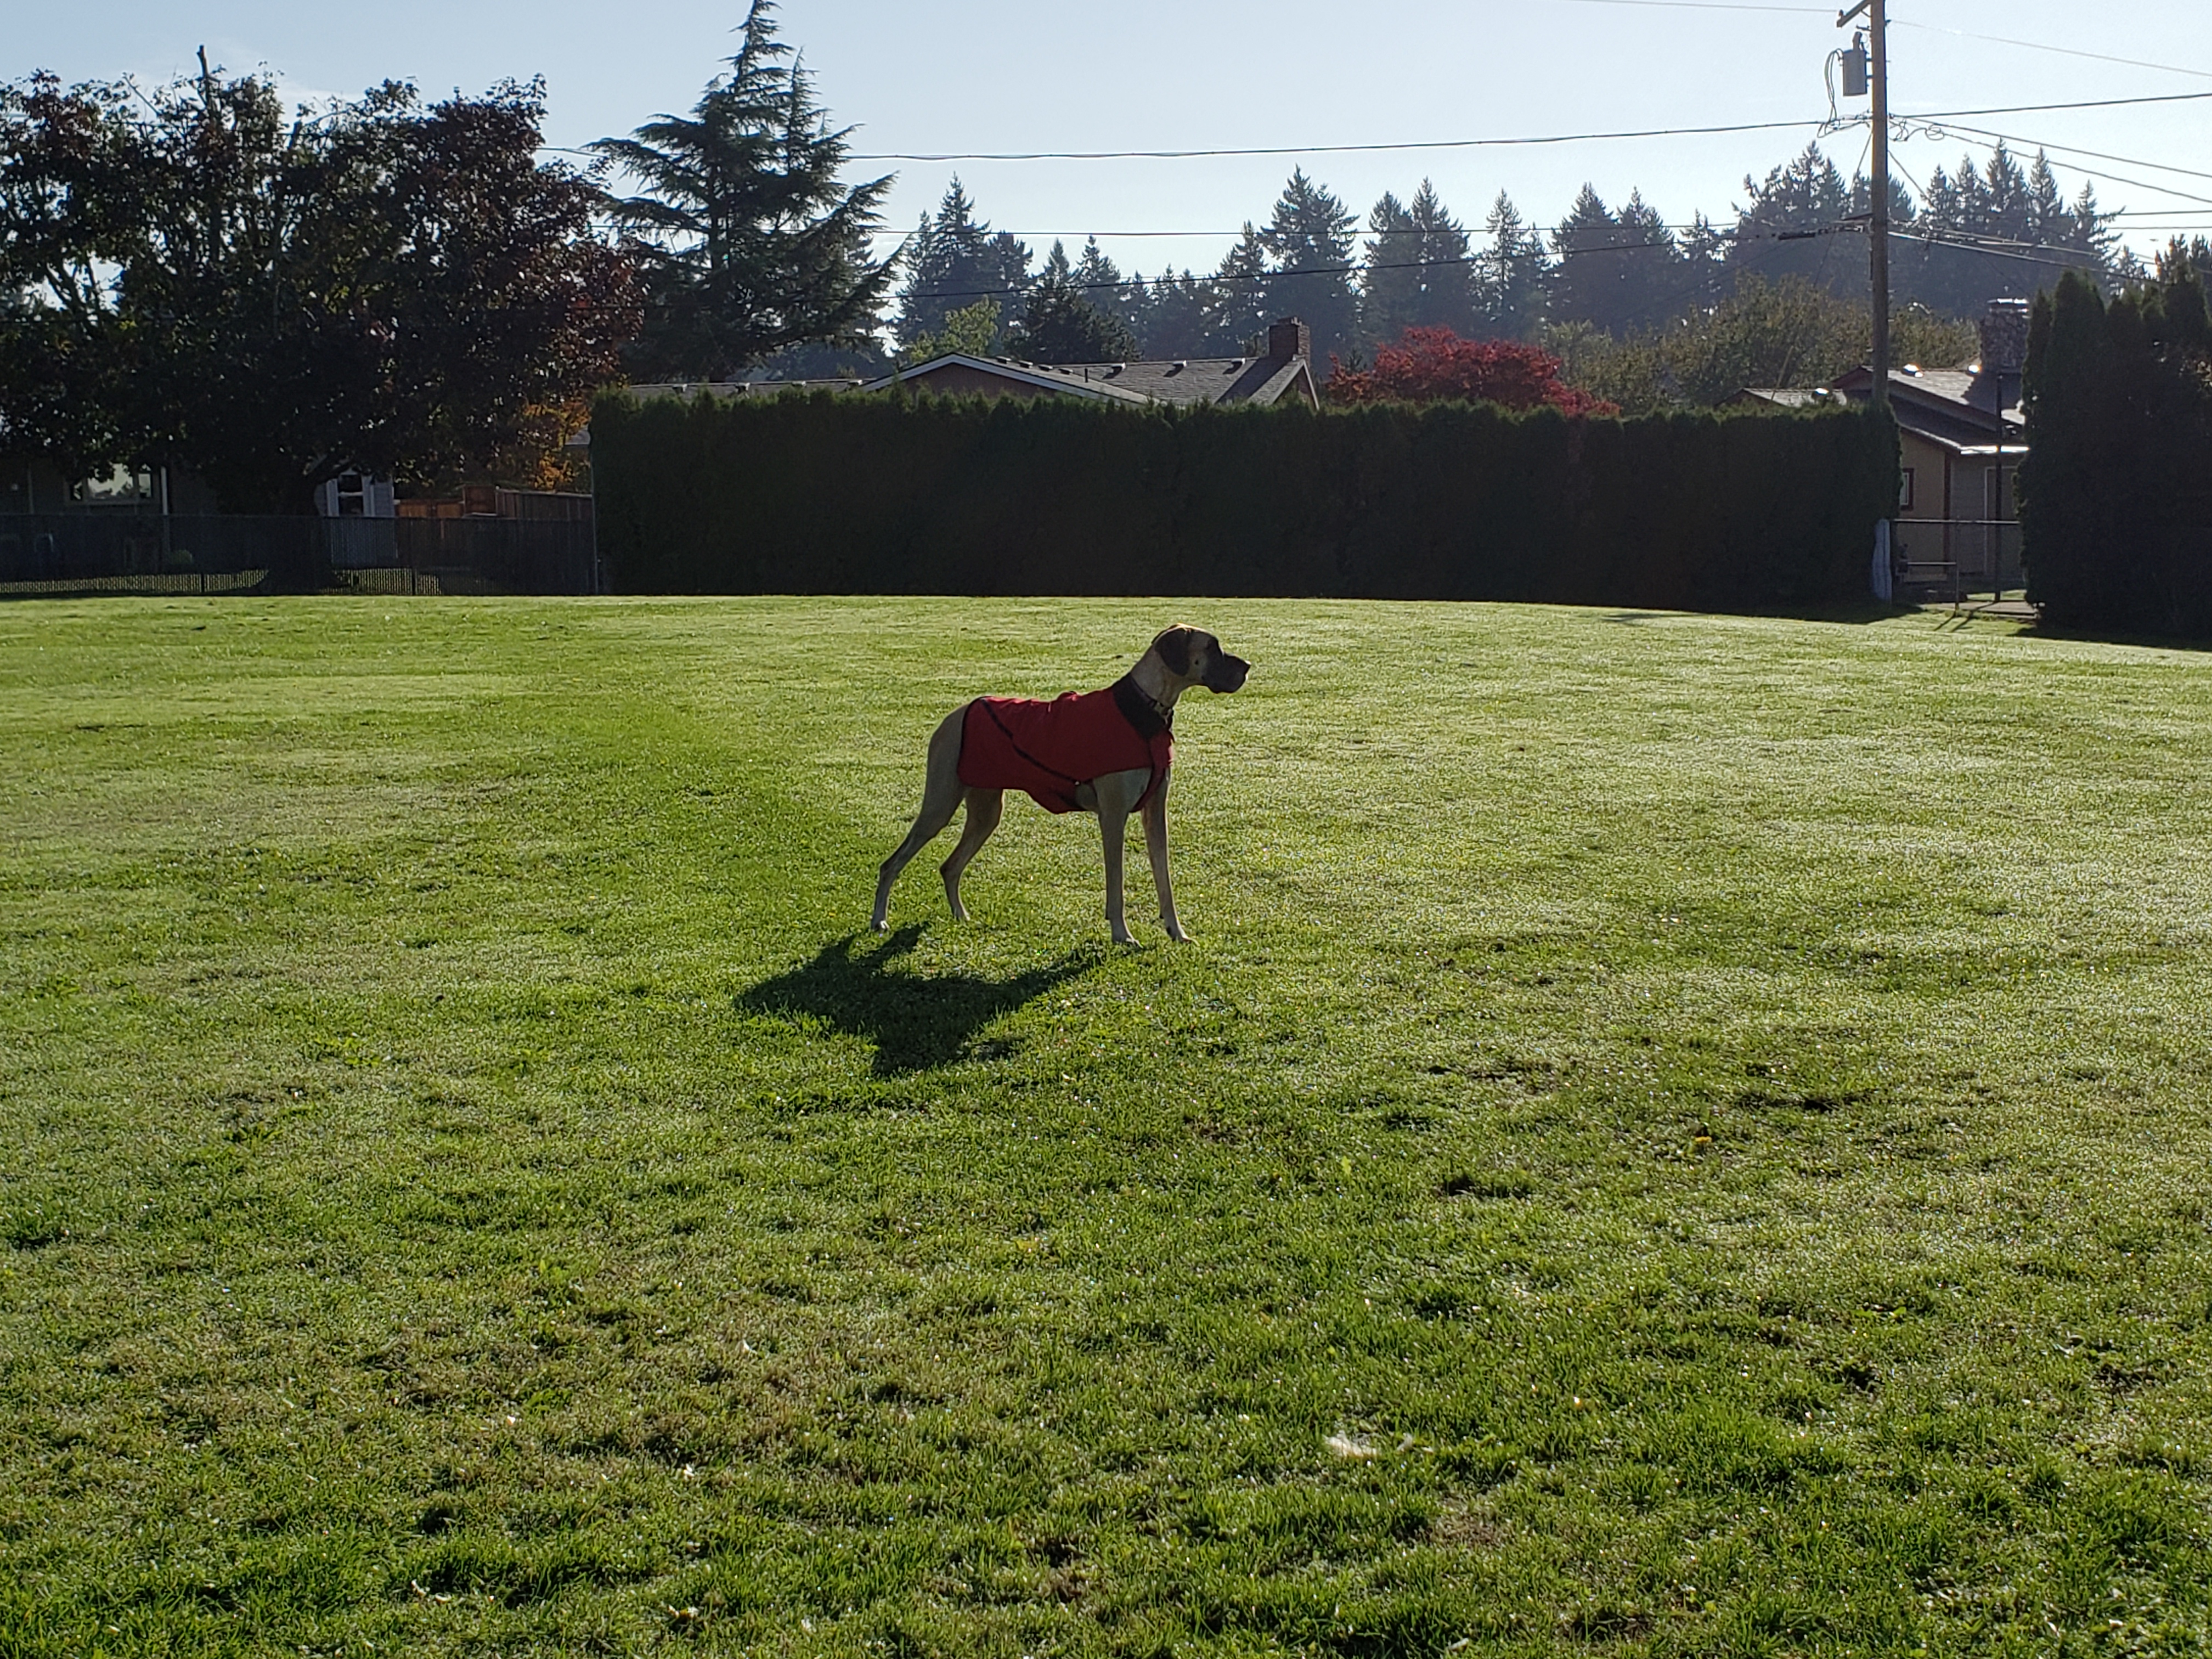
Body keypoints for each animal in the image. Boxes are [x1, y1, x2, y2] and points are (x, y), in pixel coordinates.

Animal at [867, 624, 1248, 942]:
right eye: (1212, 647)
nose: (1248, 667)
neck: (1144, 708)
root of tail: (954, 715)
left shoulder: (1155, 814)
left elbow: (1164, 878)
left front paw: (1176, 931)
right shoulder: (1113, 817)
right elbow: (1116, 884)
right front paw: (1122, 935)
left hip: (986, 813)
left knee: (950, 866)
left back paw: (960, 916)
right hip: (939, 805)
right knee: (891, 864)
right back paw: (879, 919)